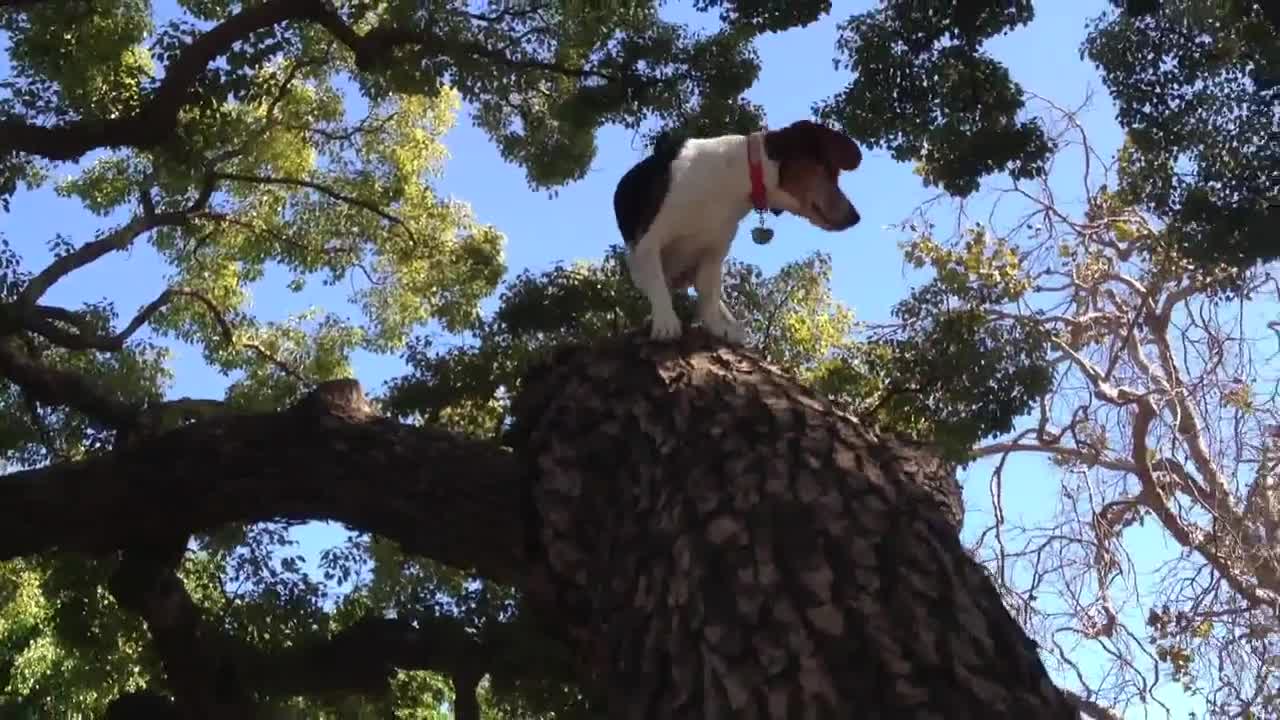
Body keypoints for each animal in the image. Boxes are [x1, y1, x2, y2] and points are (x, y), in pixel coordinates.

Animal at [614, 119, 865, 343]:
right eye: (829, 170)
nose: (856, 217)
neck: (737, 178)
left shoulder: (714, 253)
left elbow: (709, 296)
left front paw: (718, 327)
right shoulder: (649, 242)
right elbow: (658, 285)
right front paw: (666, 323)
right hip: (637, 263)